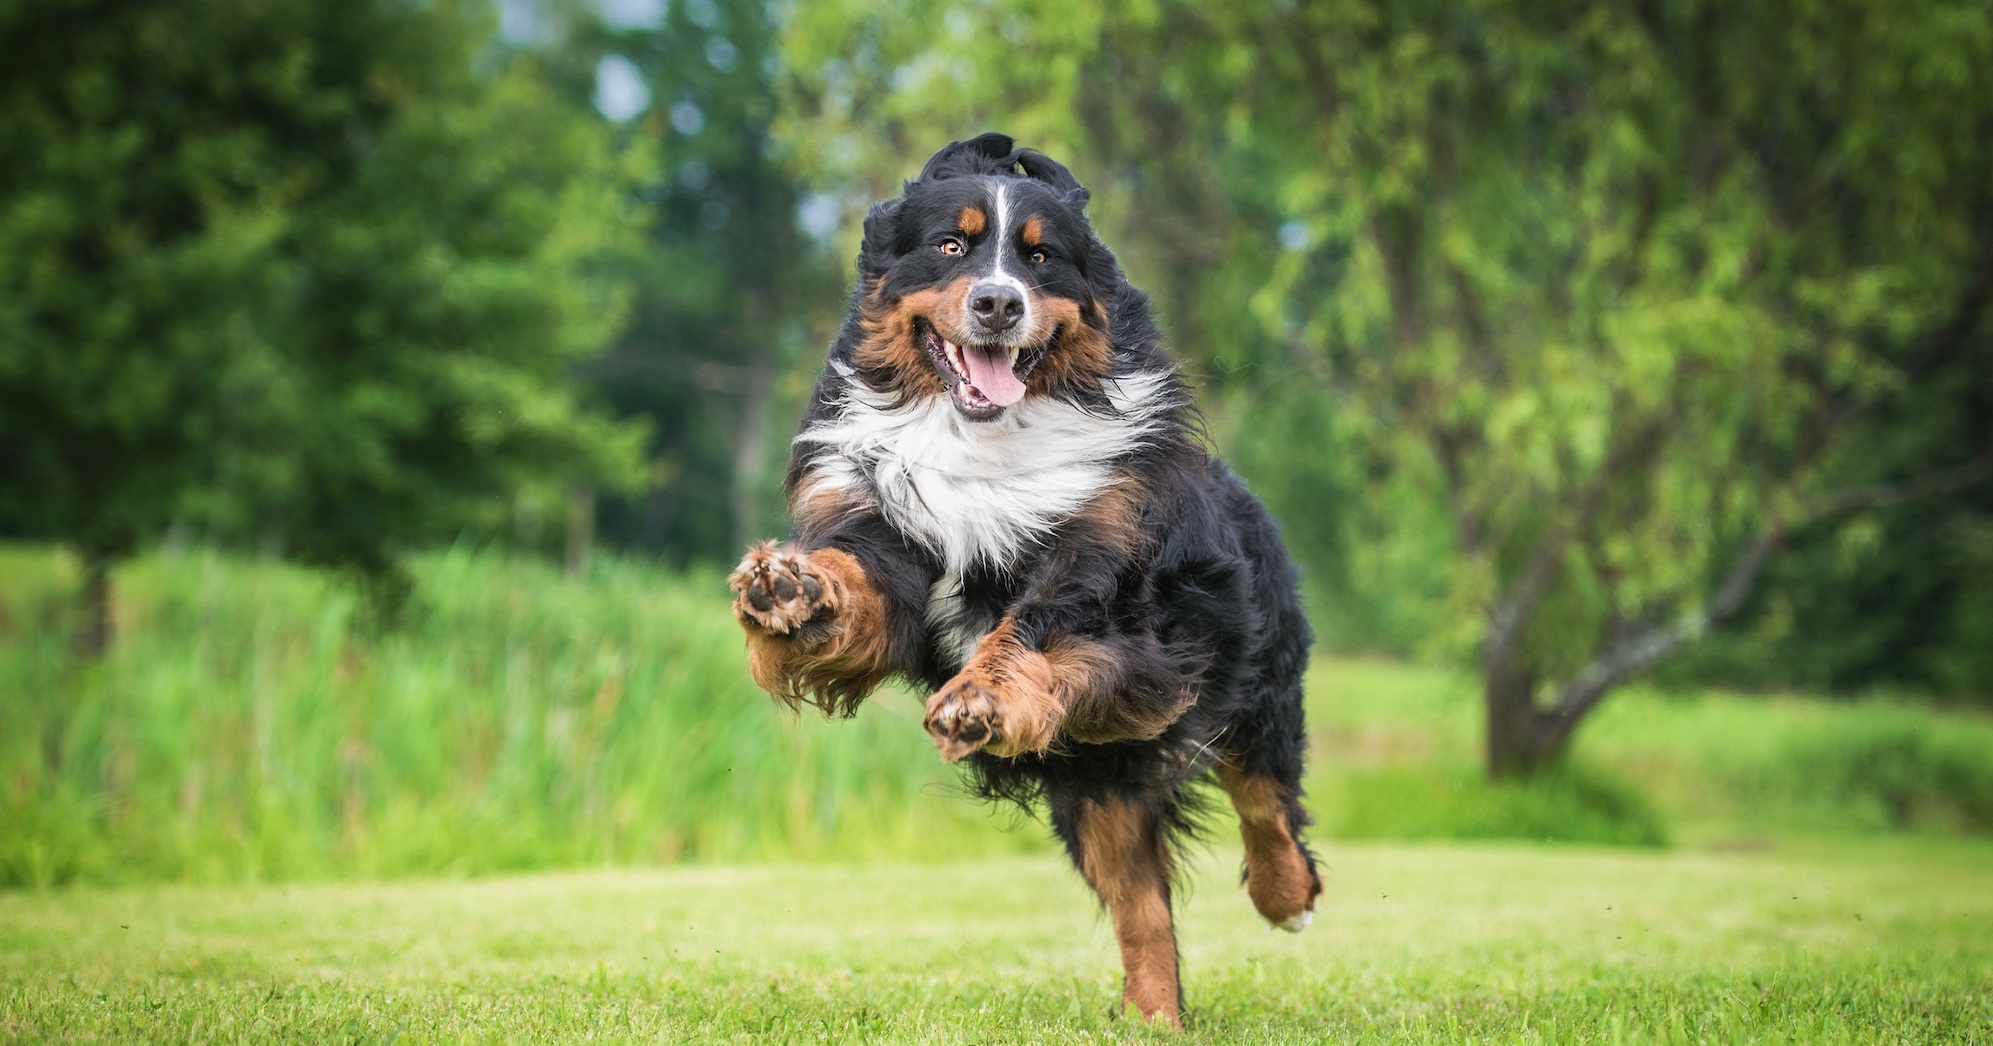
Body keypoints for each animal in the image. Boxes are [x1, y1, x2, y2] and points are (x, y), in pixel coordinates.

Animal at [725, 132, 1315, 1028]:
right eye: (949, 246)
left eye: (1041, 258)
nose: (998, 304)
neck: (983, 438)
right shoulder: (888, 545)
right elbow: (859, 588)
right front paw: (791, 588)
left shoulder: (1119, 594)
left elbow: (1032, 629)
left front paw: (980, 700)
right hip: (1096, 788)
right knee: (1142, 913)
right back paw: (1153, 1022)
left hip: (1248, 673)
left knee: (1263, 794)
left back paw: (1288, 897)